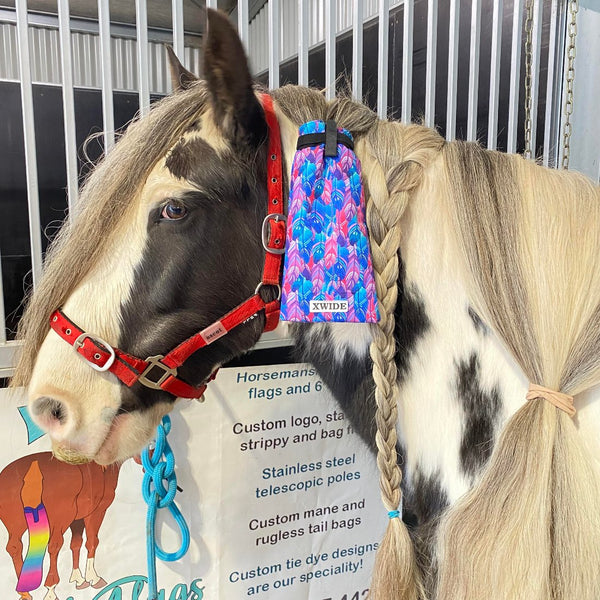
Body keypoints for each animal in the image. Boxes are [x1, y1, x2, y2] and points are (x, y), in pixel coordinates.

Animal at [0, 452, 120, 596]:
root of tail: (33, 468)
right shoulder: (96, 512)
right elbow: (92, 542)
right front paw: (93, 578)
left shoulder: (77, 519)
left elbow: (76, 544)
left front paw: (78, 579)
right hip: (58, 521)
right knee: (54, 546)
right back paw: (50, 589)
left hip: (16, 525)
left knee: (14, 547)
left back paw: (25, 592)